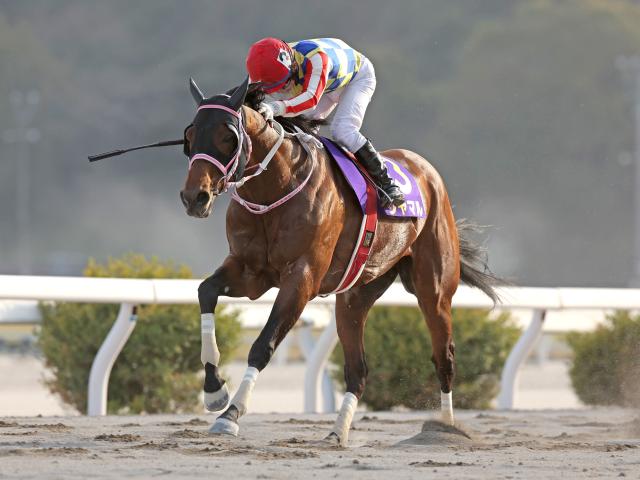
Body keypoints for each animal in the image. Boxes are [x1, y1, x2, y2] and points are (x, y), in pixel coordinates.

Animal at [180, 76, 499, 446]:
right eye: (190, 136)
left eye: (228, 137)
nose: (194, 197)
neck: (275, 188)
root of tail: (426, 171)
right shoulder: (250, 272)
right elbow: (205, 291)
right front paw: (214, 390)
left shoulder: (302, 278)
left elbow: (263, 345)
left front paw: (231, 413)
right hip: (354, 296)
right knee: (358, 369)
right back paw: (337, 431)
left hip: (434, 290)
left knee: (443, 357)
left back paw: (444, 428)